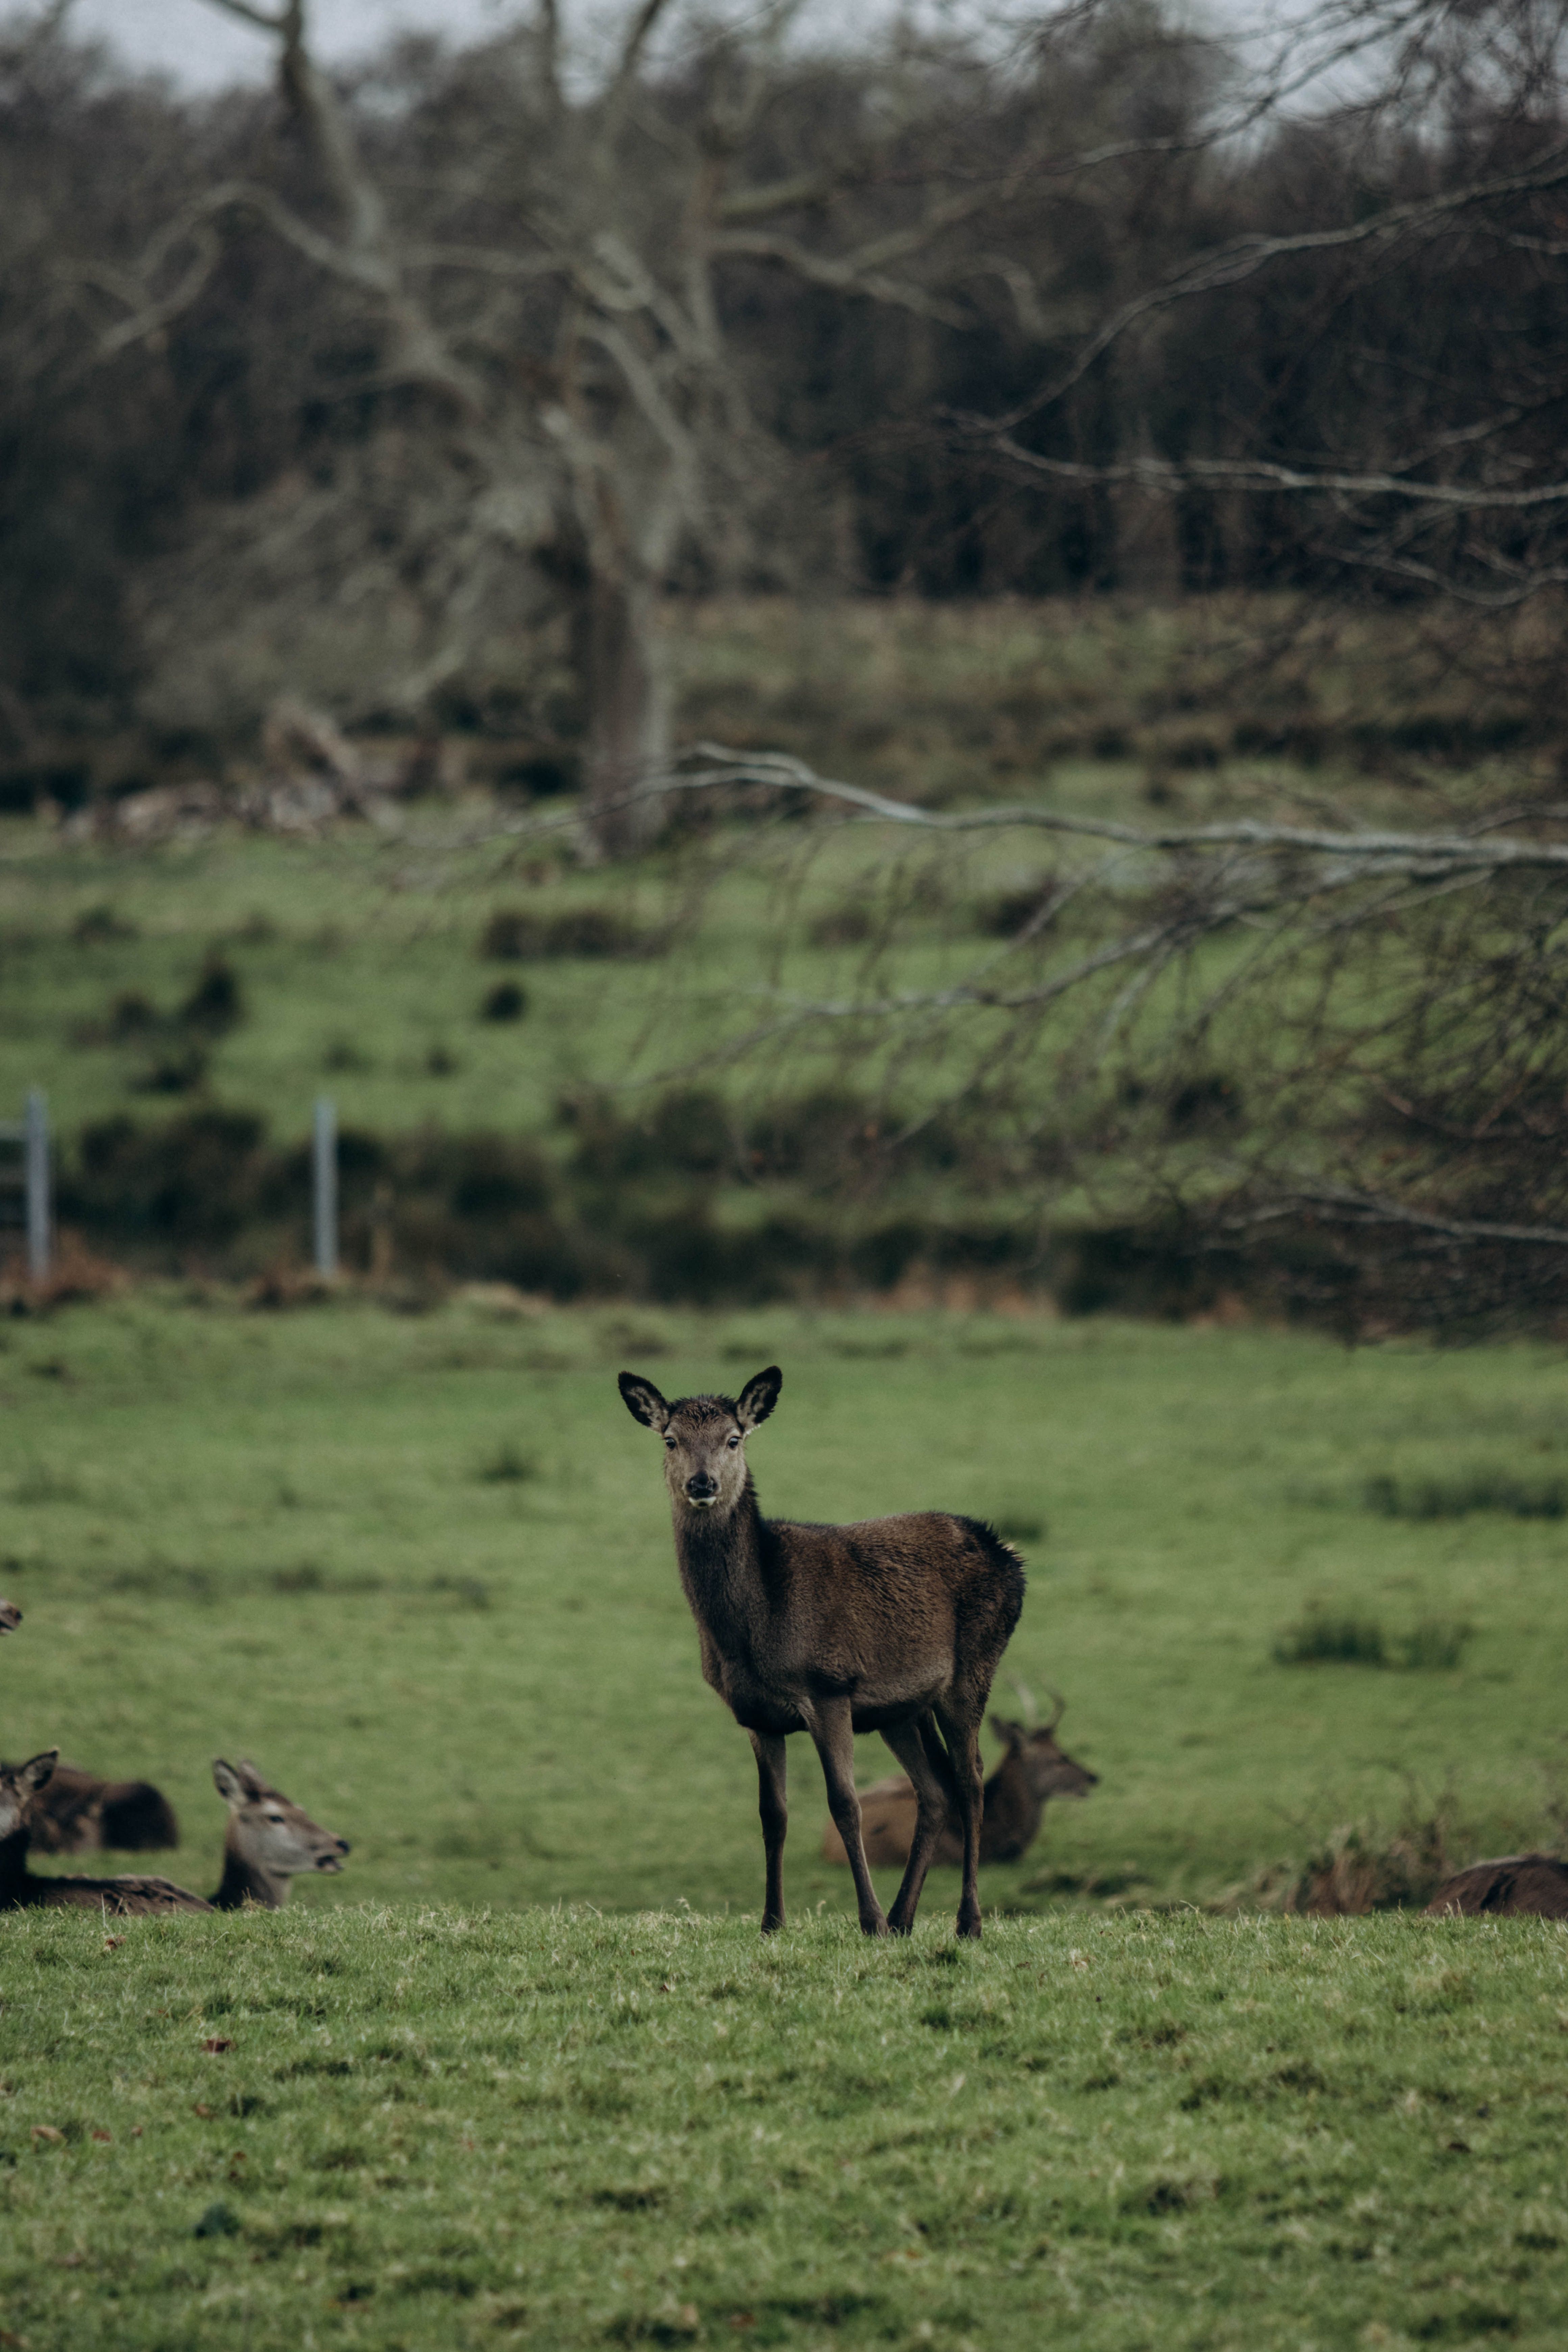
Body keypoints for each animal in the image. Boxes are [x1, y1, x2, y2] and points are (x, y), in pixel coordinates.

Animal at [618, 1363, 1026, 1940]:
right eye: (671, 1439)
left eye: (734, 1438)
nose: (702, 1483)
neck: (755, 1628)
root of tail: (1011, 1556)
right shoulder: (757, 1715)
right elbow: (773, 1814)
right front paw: (772, 1922)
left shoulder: (830, 1687)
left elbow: (845, 1803)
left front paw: (868, 1920)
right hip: (903, 1709)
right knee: (935, 1790)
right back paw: (904, 1918)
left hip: (974, 1666)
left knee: (970, 1782)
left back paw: (965, 1921)